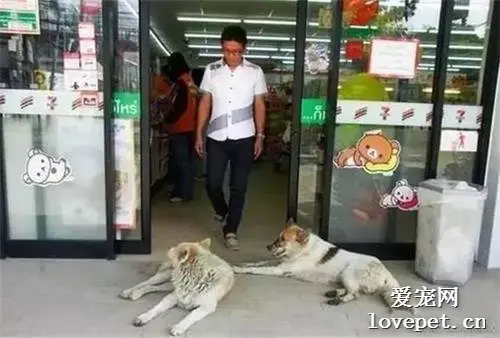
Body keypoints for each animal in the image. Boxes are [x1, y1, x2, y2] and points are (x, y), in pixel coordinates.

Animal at [232, 218, 416, 312]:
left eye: (282, 240)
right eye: (278, 237)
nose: (268, 247)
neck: (303, 249)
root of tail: (386, 273)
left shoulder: (279, 269)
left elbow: (256, 269)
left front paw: (239, 268)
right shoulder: (278, 262)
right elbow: (257, 262)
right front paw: (241, 263)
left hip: (347, 273)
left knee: (355, 293)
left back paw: (337, 300)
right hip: (344, 277)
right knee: (355, 290)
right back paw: (334, 292)